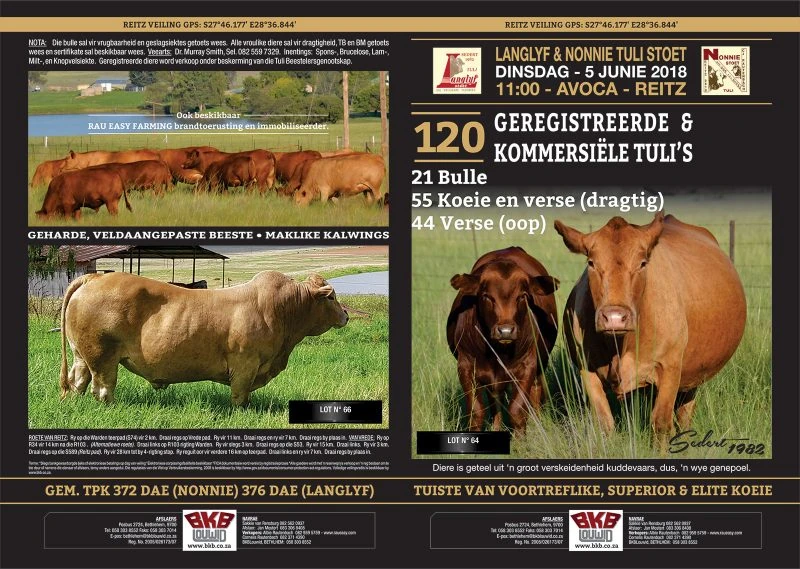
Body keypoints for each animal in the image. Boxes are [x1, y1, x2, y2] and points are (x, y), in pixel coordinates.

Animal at [59, 271, 349, 406]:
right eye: (332, 297)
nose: (346, 315)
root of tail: (95, 277)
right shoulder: (245, 364)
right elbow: (240, 397)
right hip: (102, 356)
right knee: (102, 388)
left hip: (81, 354)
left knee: (78, 381)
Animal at [447, 247, 559, 435]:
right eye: (486, 296)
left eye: (522, 296)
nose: (505, 331)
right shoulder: (466, 367)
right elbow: (476, 412)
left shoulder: (527, 366)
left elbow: (517, 410)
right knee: (495, 401)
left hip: (540, 362)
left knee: (536, 392)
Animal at [554, 213, 746, 449]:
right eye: (591, 263)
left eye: (643, 263)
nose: (615, 317)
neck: (620, 346)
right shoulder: (586, 368)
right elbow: (604, 423)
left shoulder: (670, 368)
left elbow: (661, 424)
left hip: (692, 373)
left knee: (684, 412)